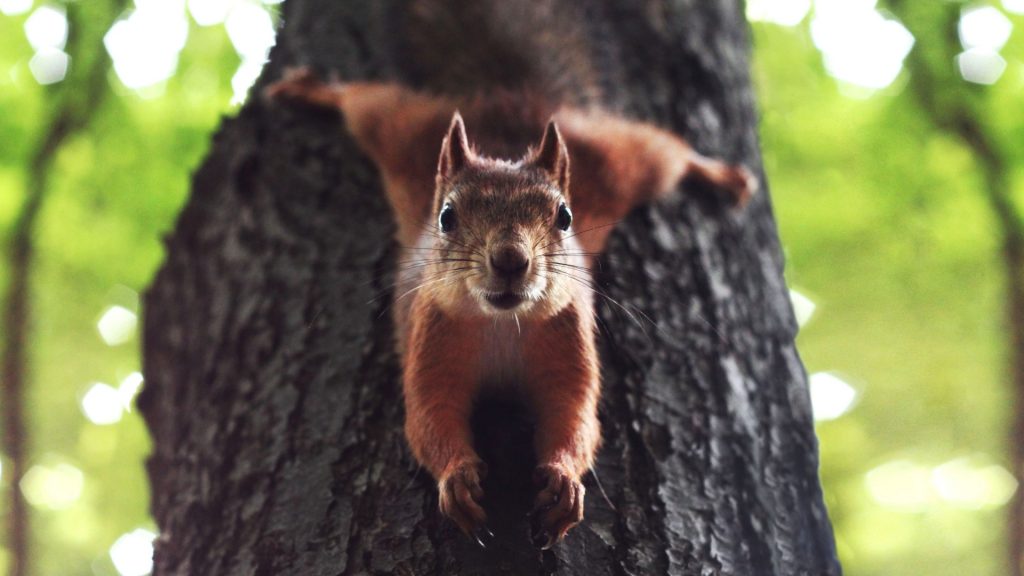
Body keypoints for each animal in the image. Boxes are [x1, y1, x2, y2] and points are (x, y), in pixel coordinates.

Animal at [264, 4, 756, 548]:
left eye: (564, 216)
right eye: (447, 217)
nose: (510, 260)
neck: (501, 323)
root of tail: (506, 110)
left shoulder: (568, 337)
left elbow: (575, 414)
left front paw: (564, 479)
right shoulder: (429, 337)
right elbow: (428, 416)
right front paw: (456, 477)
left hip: (617, 163)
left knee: (664, 151)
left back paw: (718, 173)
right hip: (404, 132)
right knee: (366, 101)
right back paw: (313, 89)